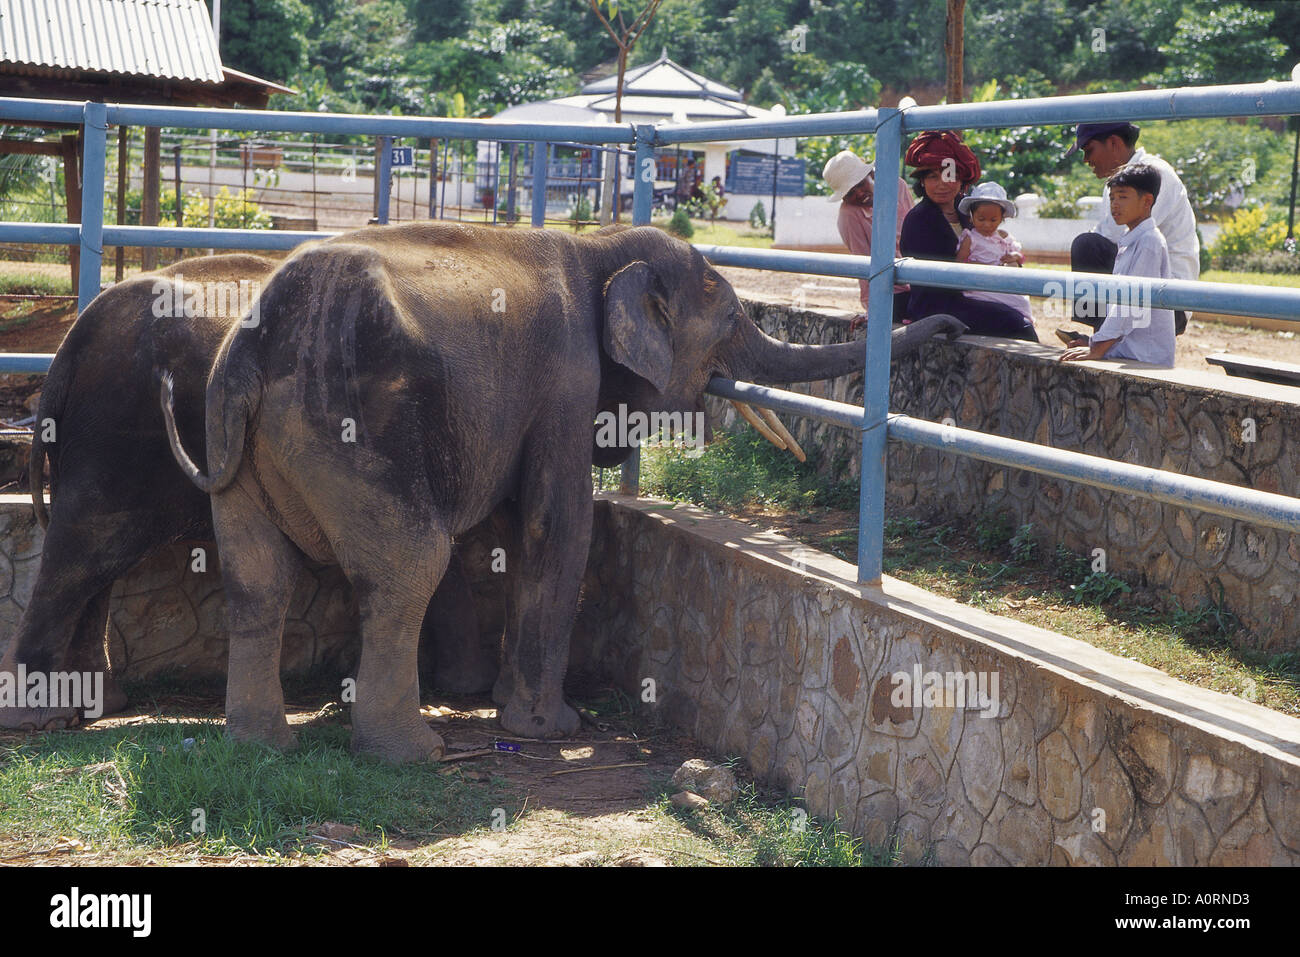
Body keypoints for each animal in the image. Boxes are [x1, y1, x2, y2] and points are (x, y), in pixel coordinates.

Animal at [0, 250, 491, 728]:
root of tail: (72, 342)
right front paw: (465, 688)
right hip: (117, 430)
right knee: (82, 551)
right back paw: (40, 718)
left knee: (97, 562)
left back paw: (99, 704)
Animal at [157, 222, 961, 764]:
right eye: (732, 319)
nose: (954, 324)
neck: (600, 244)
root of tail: (253, 351)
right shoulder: (567, 378)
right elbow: (558, 522)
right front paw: (552, 729)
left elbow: (516, 523)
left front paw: (500, 701)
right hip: (351, 428)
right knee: (407, 564)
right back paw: (413, 753)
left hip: (243, 447)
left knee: (258, 581)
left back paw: (257, 746)